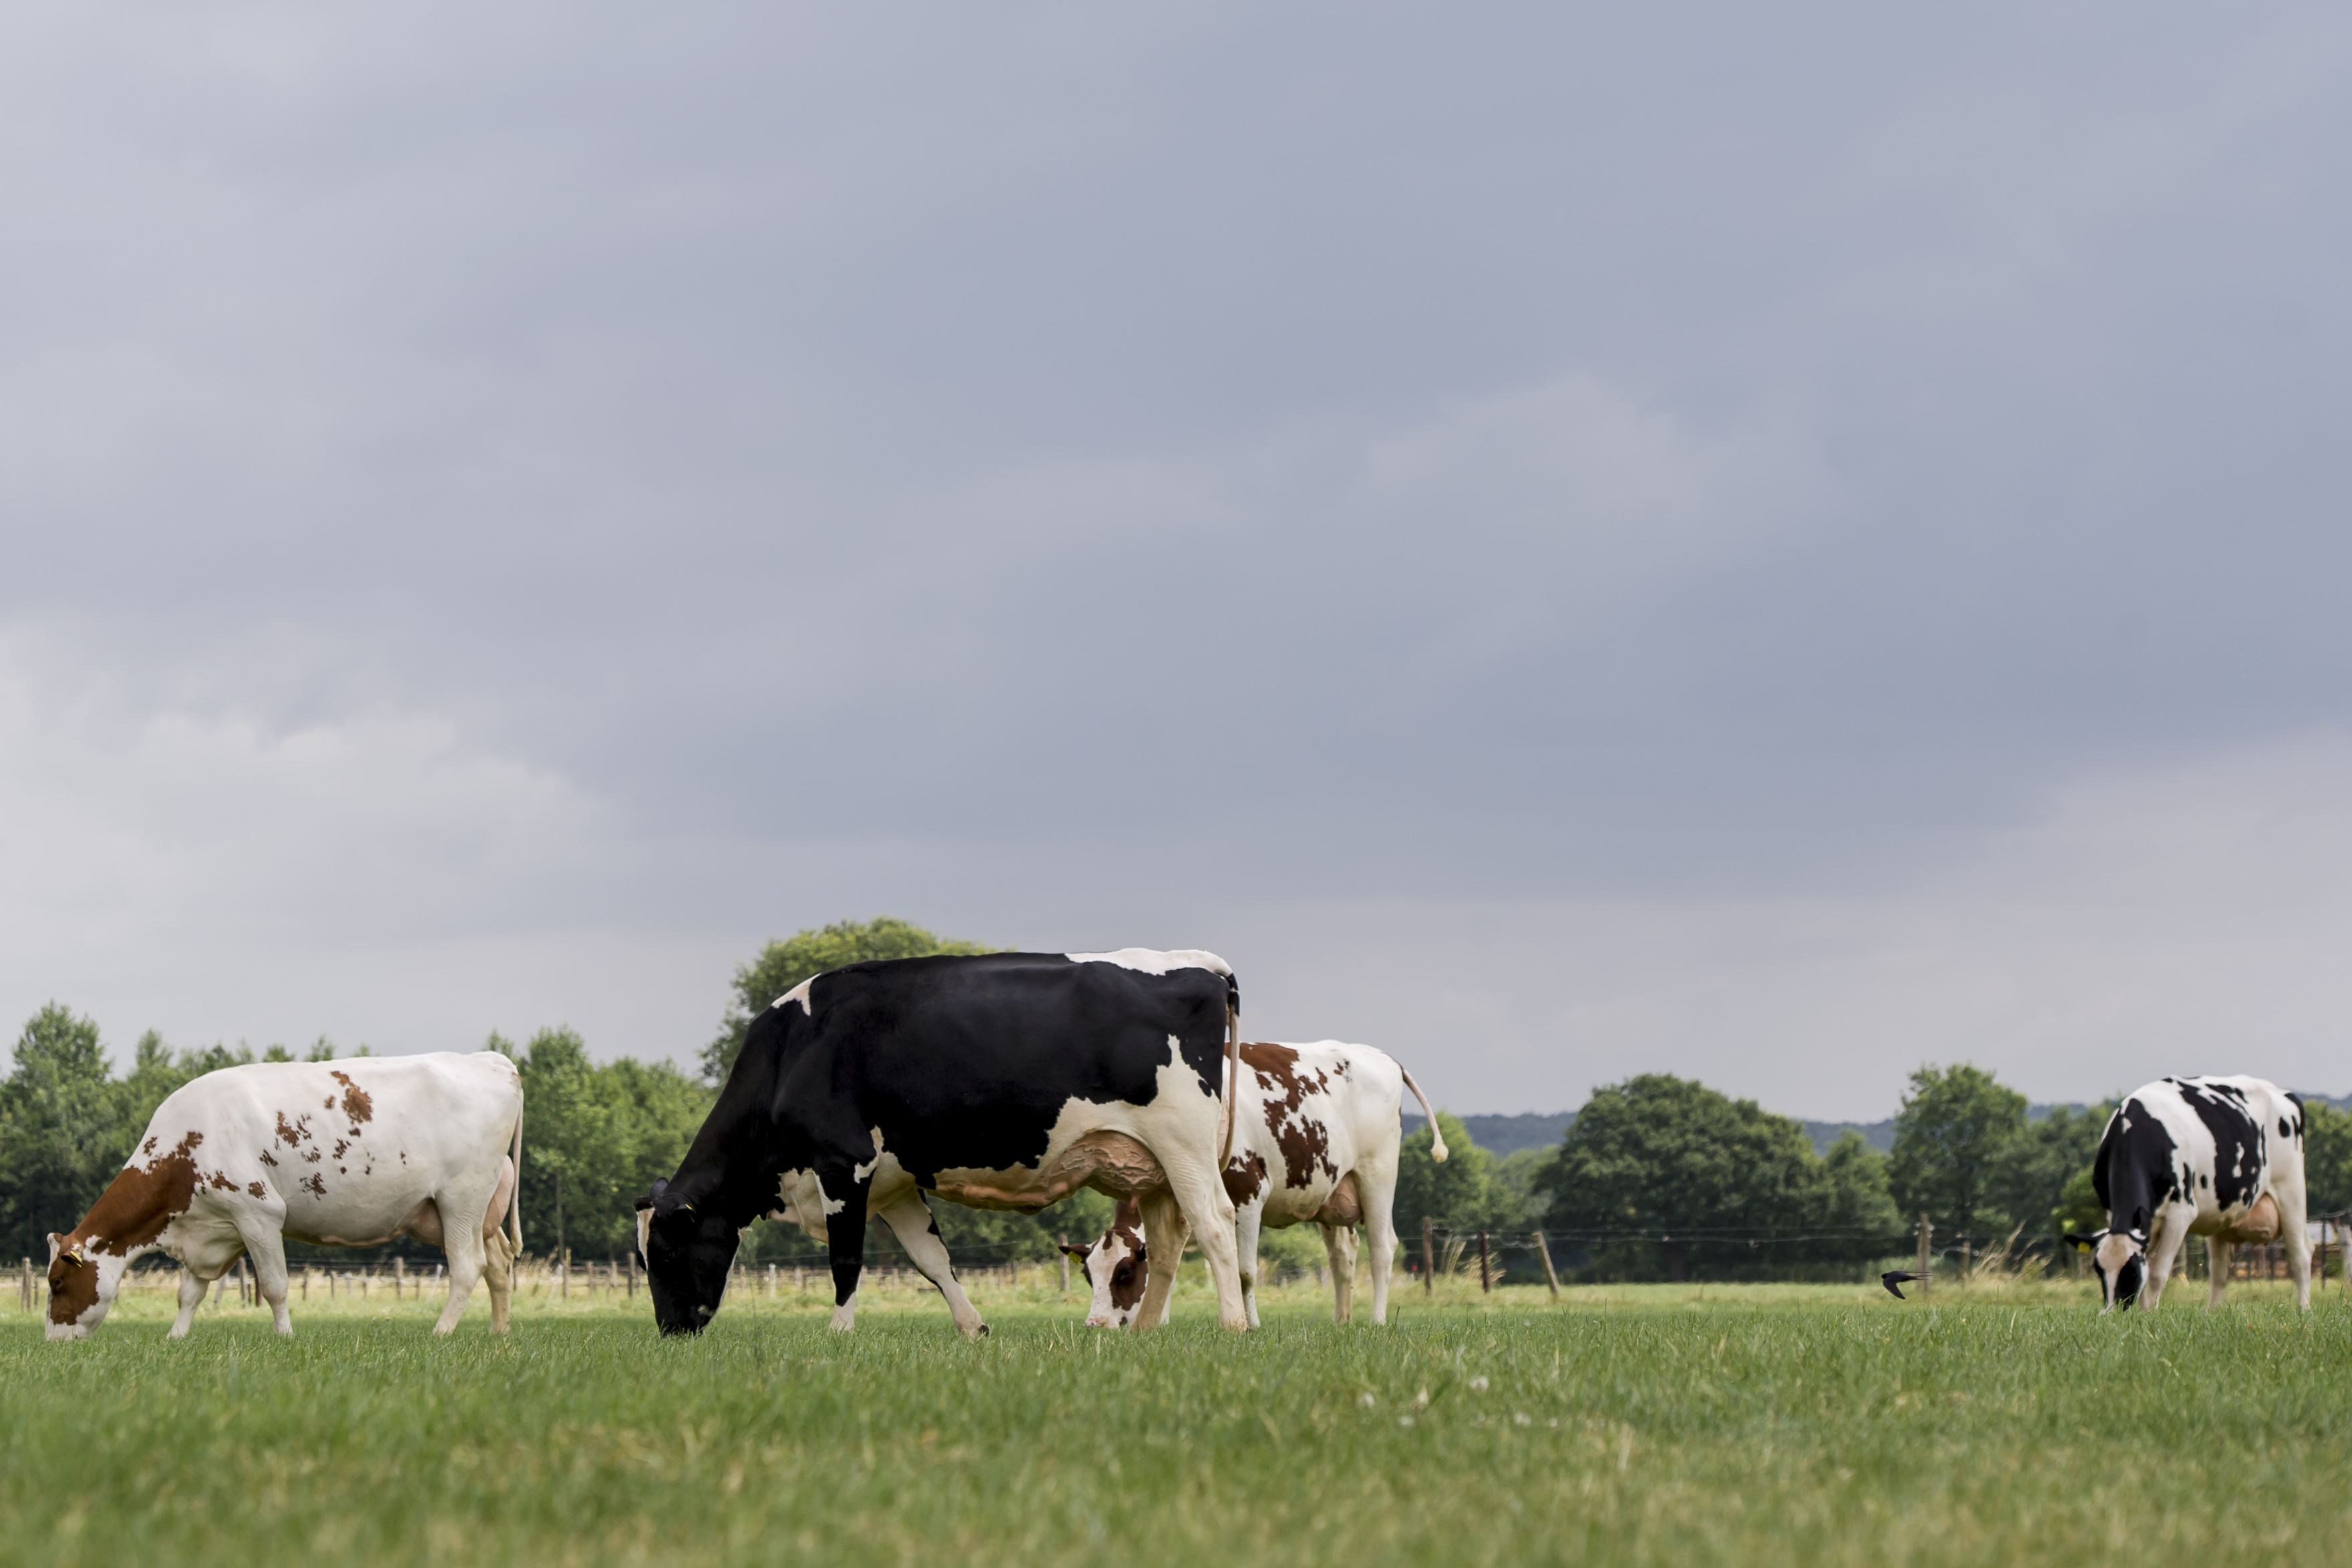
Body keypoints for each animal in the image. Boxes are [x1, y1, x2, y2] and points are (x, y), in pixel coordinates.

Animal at [42, 1048, 524, 1344]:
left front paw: (285, 1338)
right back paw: (500, 1333)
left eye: (57, 1283)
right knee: (498, 1264)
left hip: (461, 1199)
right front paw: (175, 1338)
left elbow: (274, 1286)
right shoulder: (213, 1226)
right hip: (471, 1214)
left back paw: (441, 1332)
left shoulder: (258, 1214)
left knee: (468, 1267)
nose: (52, 1343)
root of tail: (491, 1059)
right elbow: (190, 1292)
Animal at [625, 945, 1251, 1335]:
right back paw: (1145, 1331)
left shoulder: (843, 1164)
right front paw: (974, 1327)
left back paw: (1233, 1325)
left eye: (666, 1253)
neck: (793, 1052)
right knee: (1167, 1243)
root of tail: (1199, 964)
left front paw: (838, 1334)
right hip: (1154, 1166)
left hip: (1183, 1144)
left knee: (1215, 1224)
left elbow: (845, 1260)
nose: (669, 1330)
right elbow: (933, 1261)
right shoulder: (896, 1184)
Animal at [1062, 1048, 1439, 1335]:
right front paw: (1159, 1323)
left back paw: (1376, 1321)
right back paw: (1341, 1321)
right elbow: (1167, 1263)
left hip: (1377, 1176)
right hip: (1331, 1194)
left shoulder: (1248, 1194)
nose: (1095, 1324)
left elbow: (1244, 1273)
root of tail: (1379, 1055)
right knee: (1343, 1256)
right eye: (1087, 1274)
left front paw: (1251, 1325)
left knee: (1382, 1249)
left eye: (1124, 1273)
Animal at [2070, 1081, 2305, 1316]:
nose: (2110, 1313)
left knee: (2300, 1256)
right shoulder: (2119, 1215)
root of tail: (2281, 1091)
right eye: (2098, 1270)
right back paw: (2213, 1313)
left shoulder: (2180, 1215)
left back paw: (2305, 1308)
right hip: (2222, 1215)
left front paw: (2151, 1315)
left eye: (2132, 1272)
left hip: (2291, 1192)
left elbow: (2157, 1273)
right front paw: (2143, 1314)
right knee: (2219, 1271)